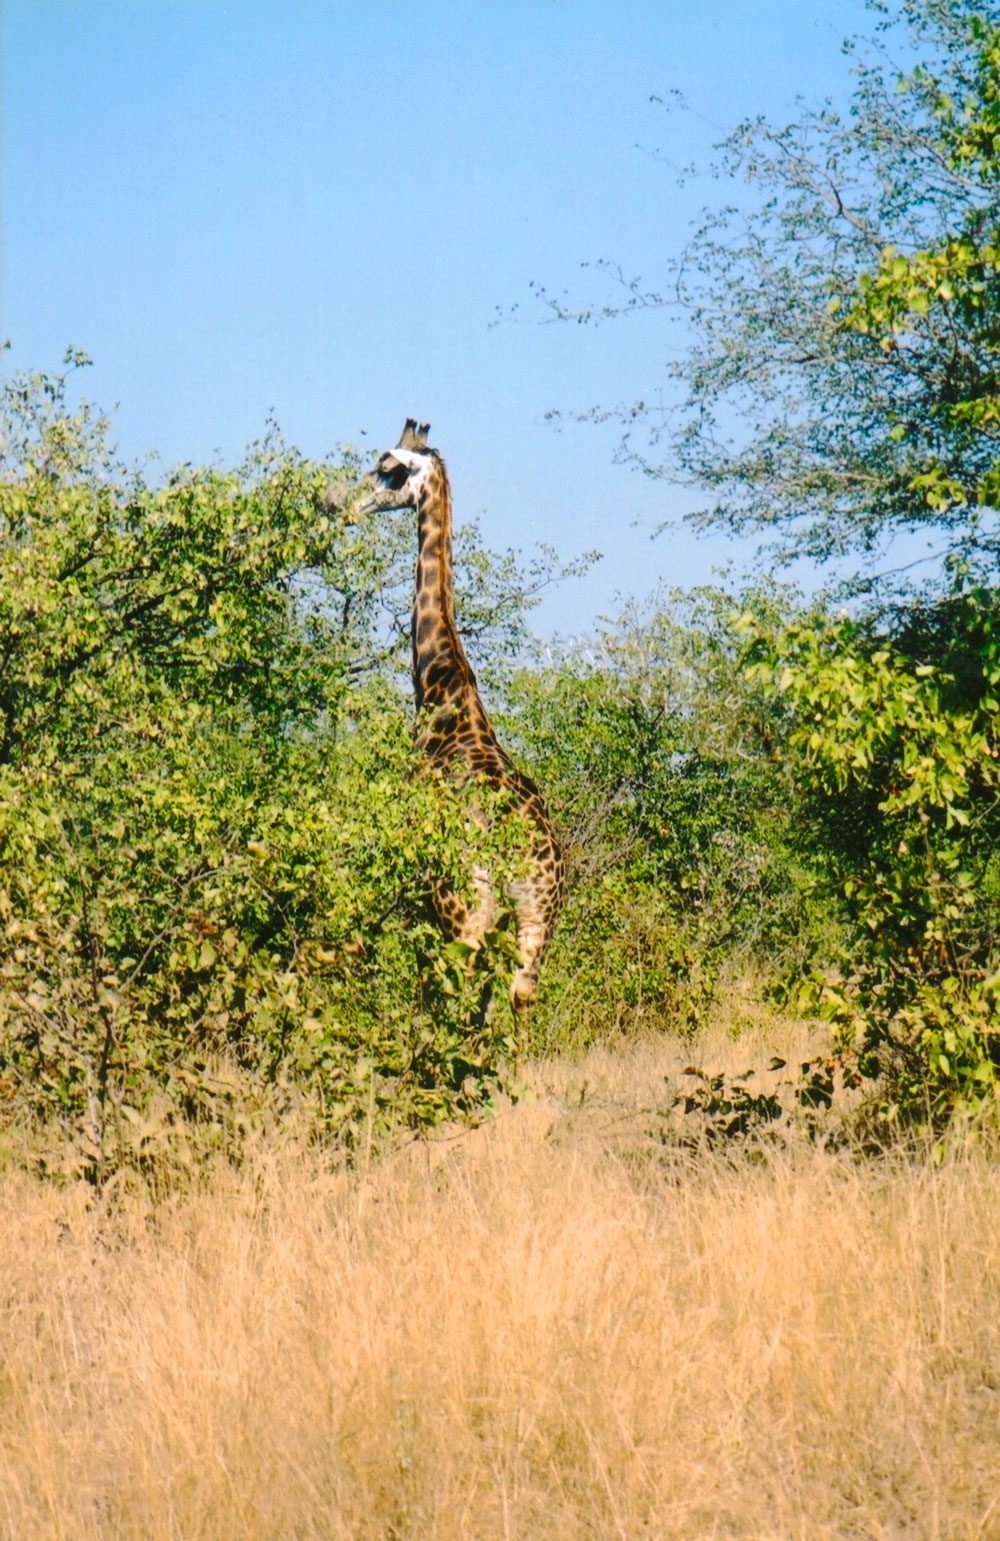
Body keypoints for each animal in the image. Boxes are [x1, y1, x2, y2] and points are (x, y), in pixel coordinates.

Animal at [353, 419, 564, 1011]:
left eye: (386, 467)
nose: (353, 504)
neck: (440, 685)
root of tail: (529, 863)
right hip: (534, 928)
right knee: (513, 1002)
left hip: (465, 906)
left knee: (462, 991)